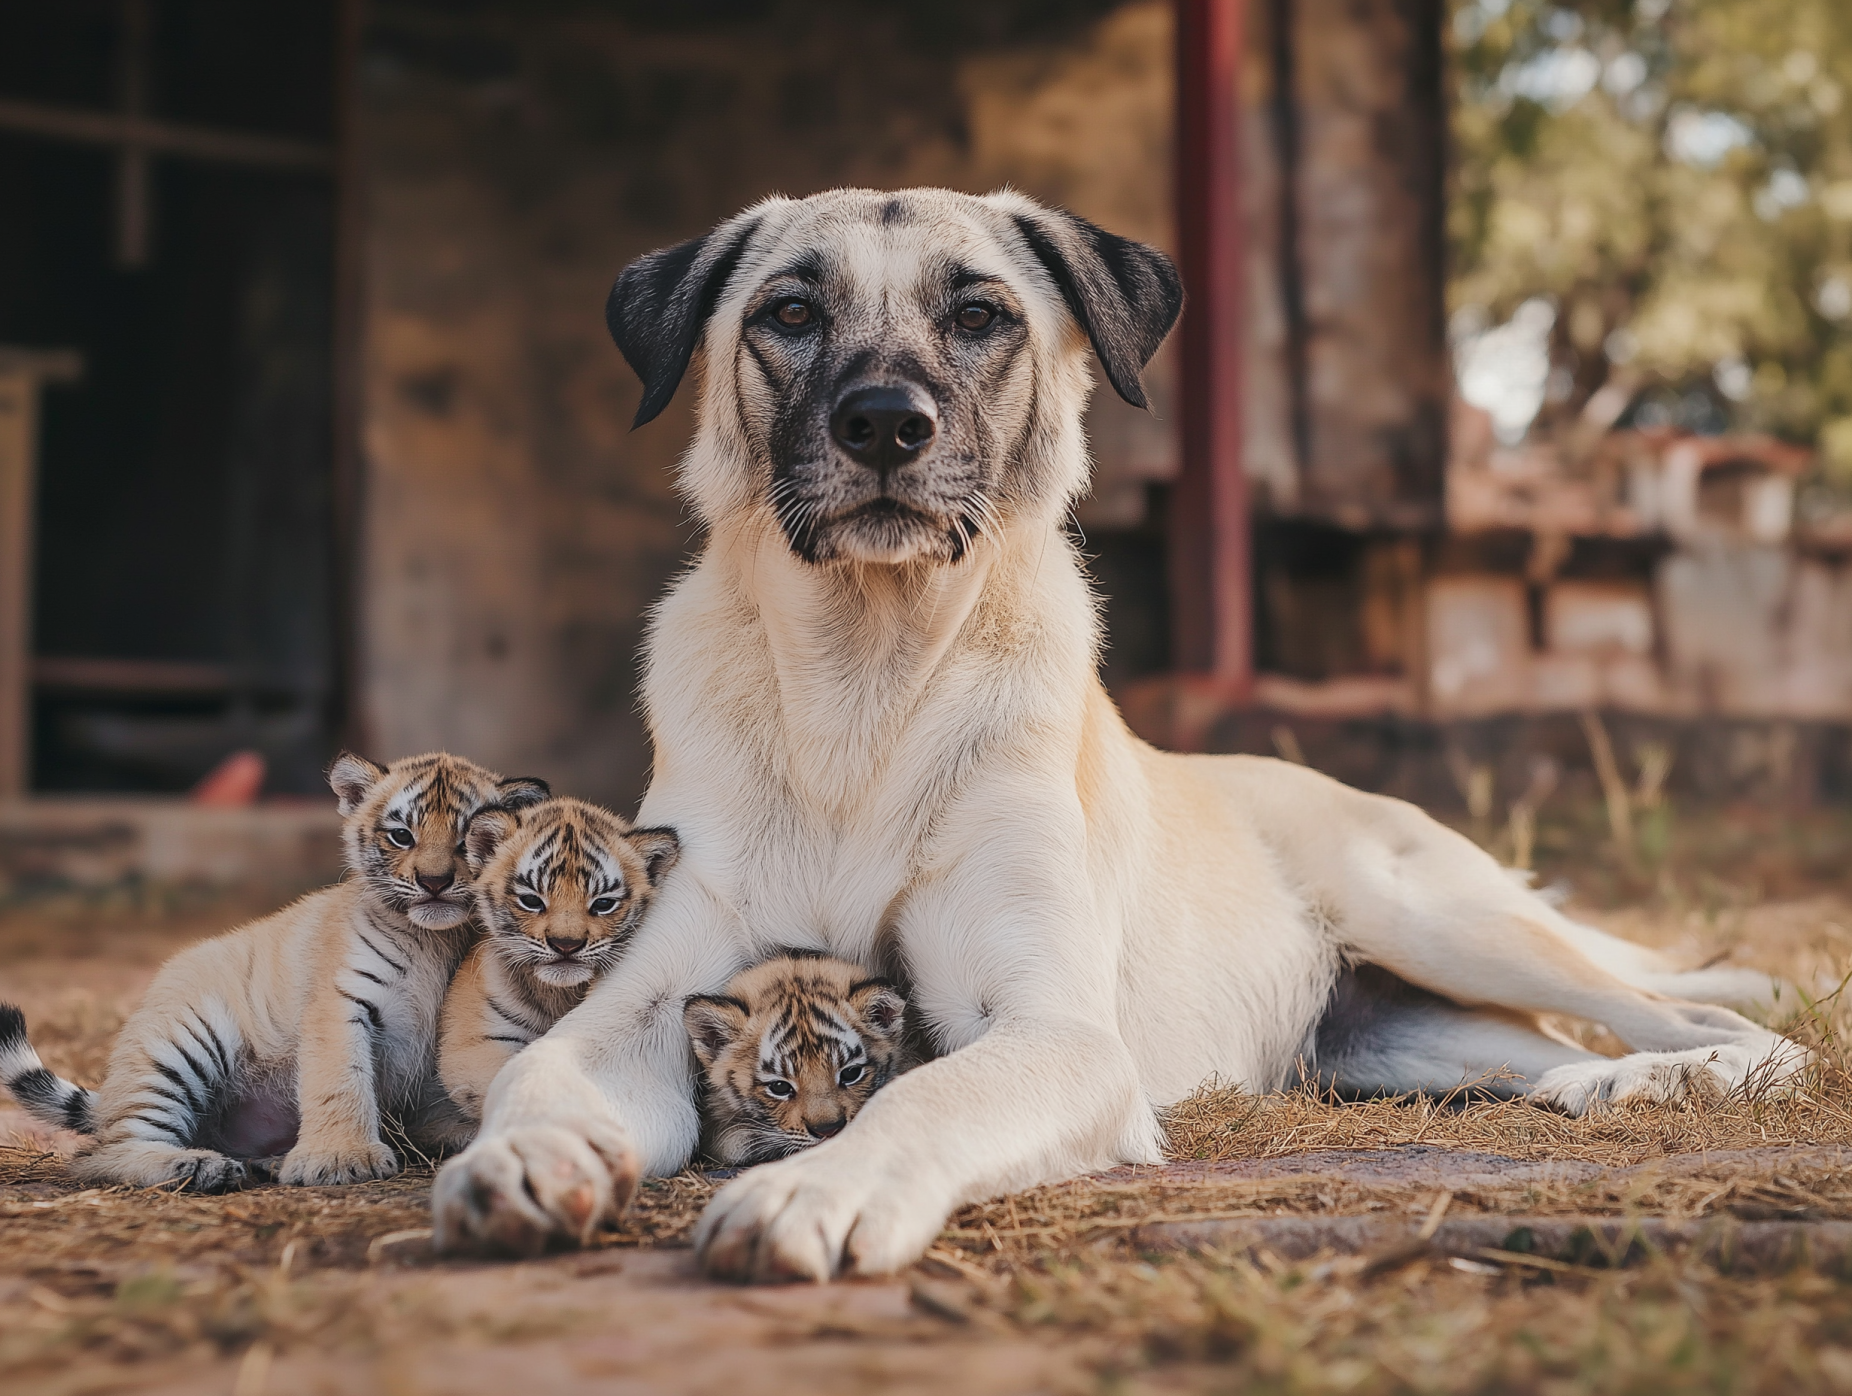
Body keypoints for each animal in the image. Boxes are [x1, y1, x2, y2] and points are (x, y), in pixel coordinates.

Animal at [0, 751, 548, 1193]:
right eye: (401, 835)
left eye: (465, 840)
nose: (434, 882)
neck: (435, 937)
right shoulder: (341, 1002)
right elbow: (340, 1079)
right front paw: (341, 1159)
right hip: (182, 1040)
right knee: (101, 1152)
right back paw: (199, 1167)